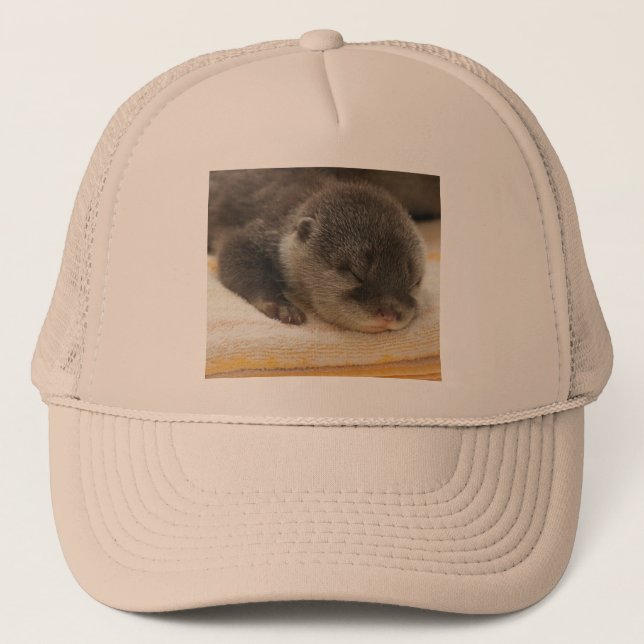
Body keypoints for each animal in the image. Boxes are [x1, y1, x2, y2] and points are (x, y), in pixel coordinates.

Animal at [208, 168, 429, 333]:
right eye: (355, 274)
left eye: (414, 282)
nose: (390, 313)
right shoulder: (261, 230)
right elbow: (233, 254)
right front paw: (282, 307)